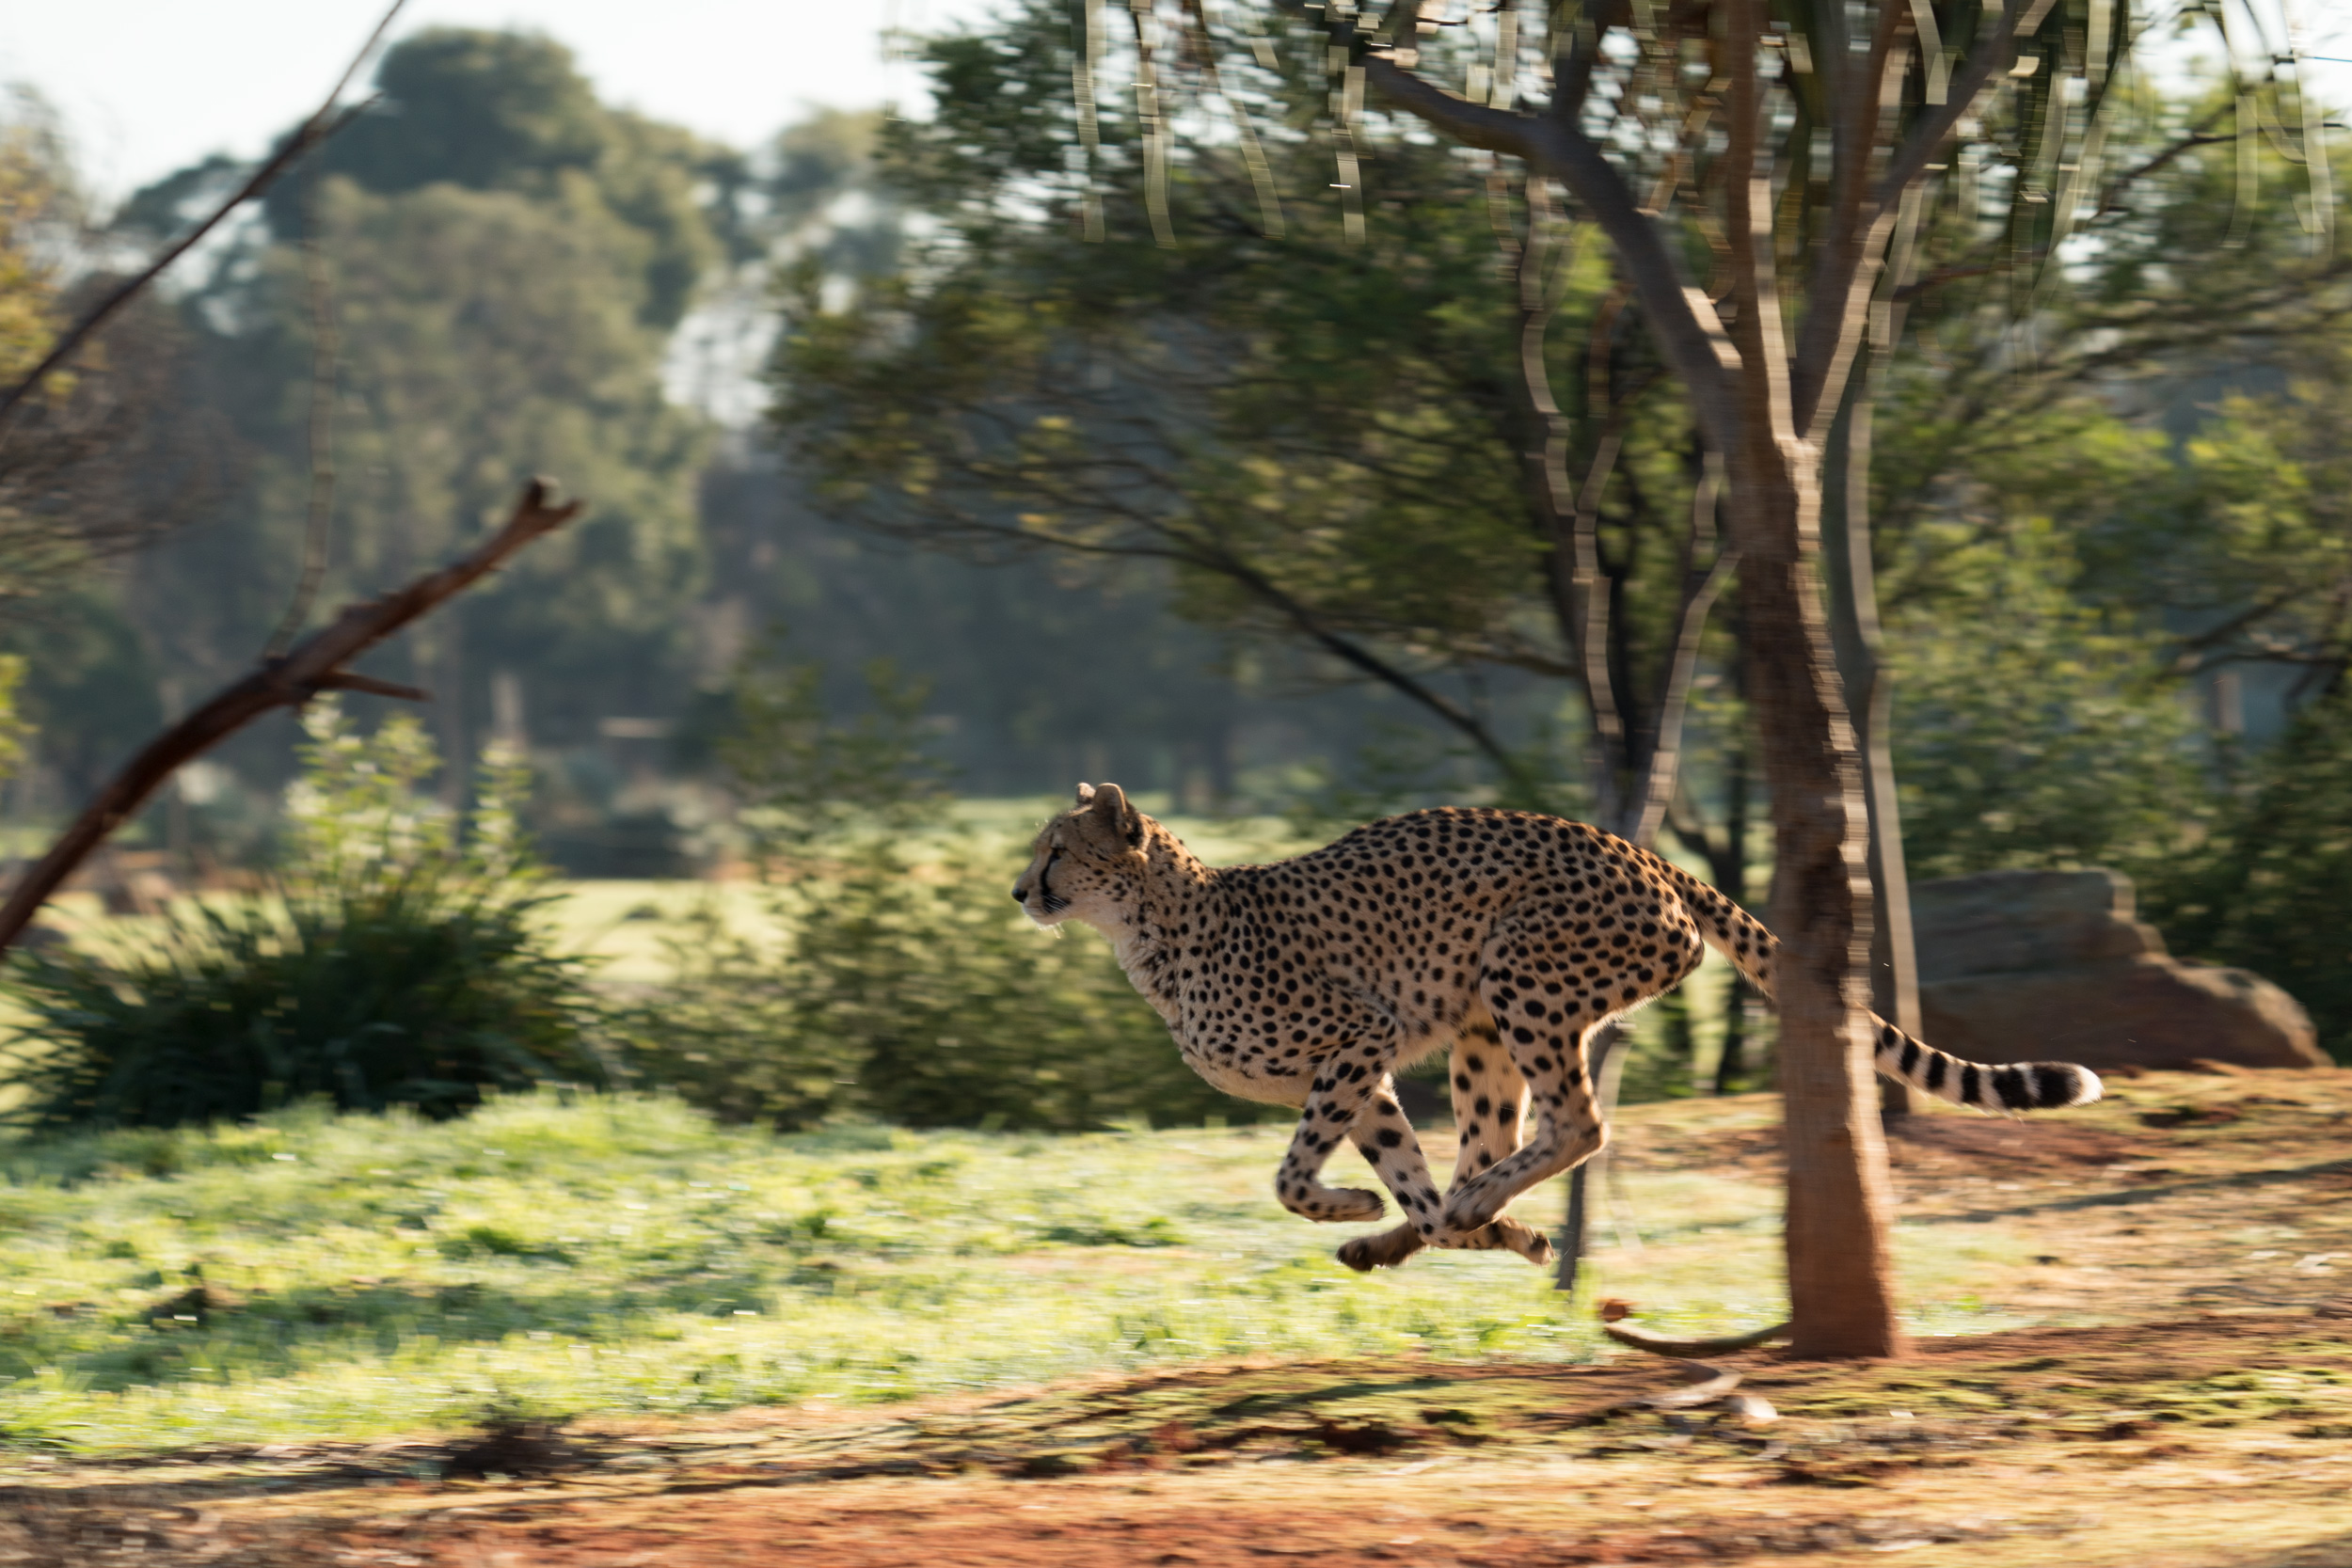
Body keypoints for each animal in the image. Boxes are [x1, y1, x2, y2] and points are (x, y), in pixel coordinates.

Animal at [1007, 784, 2098, 1278]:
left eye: (1058, 849)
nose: (1019, 889)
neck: (1157, 928)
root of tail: (1636, 846)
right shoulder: (1370, 1070)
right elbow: (1401, 1163)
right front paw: (1441, 1222)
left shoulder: (1357, 1037)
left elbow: (1292, 1176)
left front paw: (1354, 1203)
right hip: (1480, 1025)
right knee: (1498, 1144)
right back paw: (1458, 1224)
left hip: (1519, 977)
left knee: (1578, 1125)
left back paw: (1460, 1214)